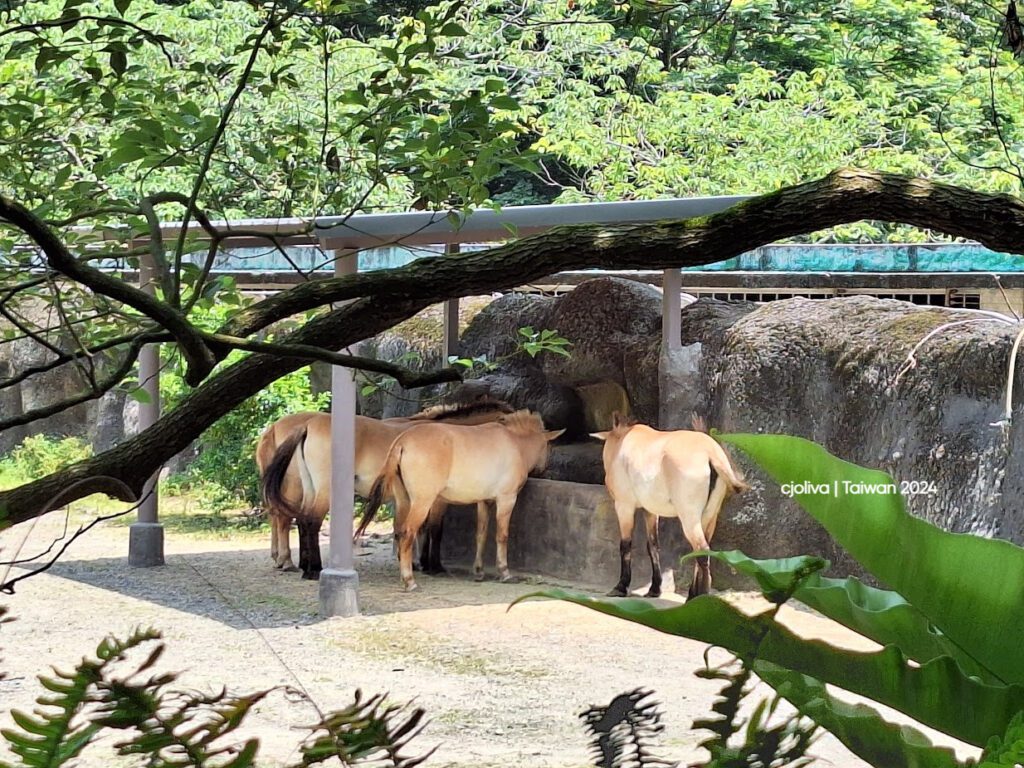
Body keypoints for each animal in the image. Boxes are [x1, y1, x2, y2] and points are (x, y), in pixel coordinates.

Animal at [257, 400, 513, 579]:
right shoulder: (436, 500)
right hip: (315, 490)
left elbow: (415, 529)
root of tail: (306, 426)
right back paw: (308, 568)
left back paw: (303, 565)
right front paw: (434, 566)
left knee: (299, 520)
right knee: (305, 521)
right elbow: (433, 529)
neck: (453, 435)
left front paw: (417, 563)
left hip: (309, 488)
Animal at [356, 410, 565, 591]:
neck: (515, 444)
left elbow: (481, 535)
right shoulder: (506, 499)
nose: (544, 470)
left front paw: (479, 571)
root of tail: (403, 441)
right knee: (408, 533)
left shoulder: (484, 502)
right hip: (422, 502)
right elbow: (502, 535)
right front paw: (504, 572)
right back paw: (410, 581)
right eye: (548, 448)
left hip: (404, 500)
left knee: (399, 532)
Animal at [590, 412, 748, 600]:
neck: (623, 441)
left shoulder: (624, 506)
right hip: (710, 516)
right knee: (700, 551)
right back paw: (692, 594)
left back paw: (698, 596)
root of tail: (711, 453)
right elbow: (653, 546)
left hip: (689, 517)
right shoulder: (650, 511)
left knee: (701, 549)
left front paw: (620, 586)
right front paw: (654, 589)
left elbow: (625, 545)